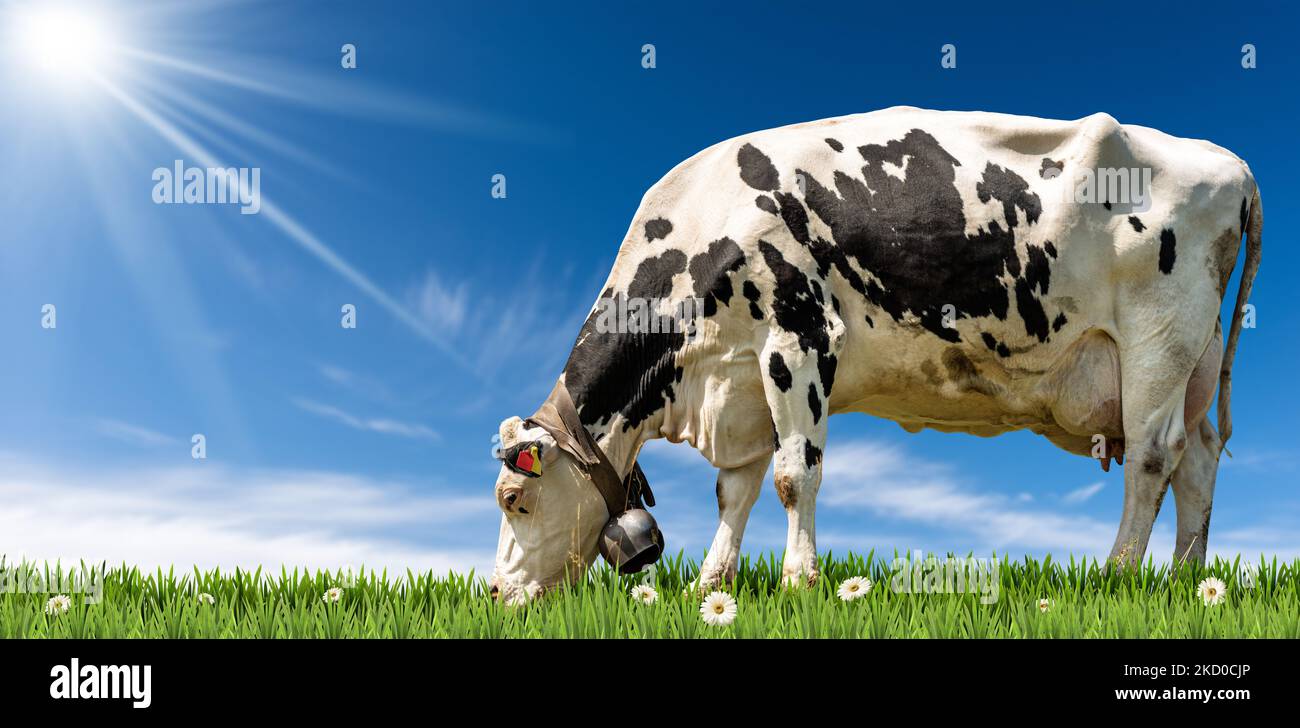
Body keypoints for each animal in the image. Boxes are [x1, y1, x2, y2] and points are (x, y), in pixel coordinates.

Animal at [488, 107, 1262, 605]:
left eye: (514, 498)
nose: (494, 591)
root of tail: (1228, 161)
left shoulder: (799, 338)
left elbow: (793, 476)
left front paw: (800, 583)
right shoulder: (741, 384)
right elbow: (734, 491)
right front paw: (711, 586)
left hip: (1159, 336)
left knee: (1152, 457)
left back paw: (1119, 575)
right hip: (1196, 357)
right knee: (1198, 462)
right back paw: (1189, 581)